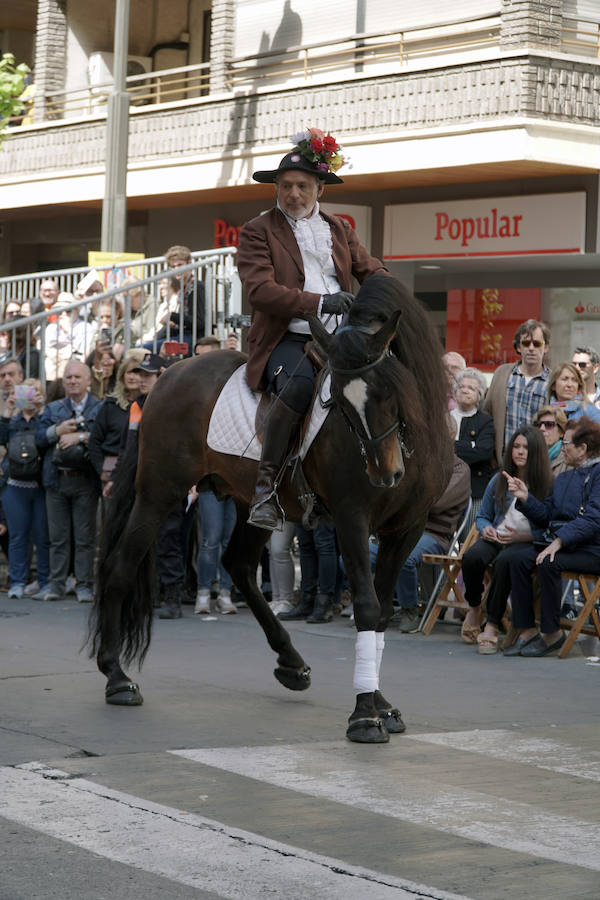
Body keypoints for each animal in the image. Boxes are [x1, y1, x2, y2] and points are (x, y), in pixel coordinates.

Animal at [91, 274, 452, 744]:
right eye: (337, 400)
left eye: (390, 389)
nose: (384, 471)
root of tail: (167, 378)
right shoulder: (352, 519)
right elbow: (368, 607)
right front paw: (365, 715)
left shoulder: (406, 528)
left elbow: (383, 612)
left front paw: (382, 706)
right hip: (159, 491)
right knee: (120, 566)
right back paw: (116, 677)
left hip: (253, 505)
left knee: (239, 565)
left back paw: (291, 662)